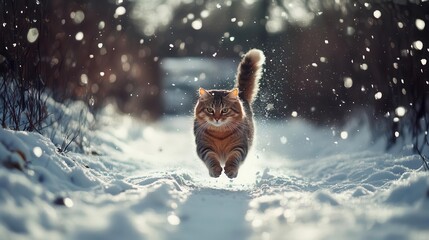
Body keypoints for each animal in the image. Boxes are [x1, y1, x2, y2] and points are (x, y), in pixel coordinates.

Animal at [193, 48, 264, 177]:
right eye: (210, 110)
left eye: (225, 110)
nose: (217, 118)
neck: (220, 134)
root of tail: (240, 95)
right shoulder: (204, 147)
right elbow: (211, 158)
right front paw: (215, 170)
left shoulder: (239, 146)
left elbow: (234, 158)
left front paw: (231, 170)